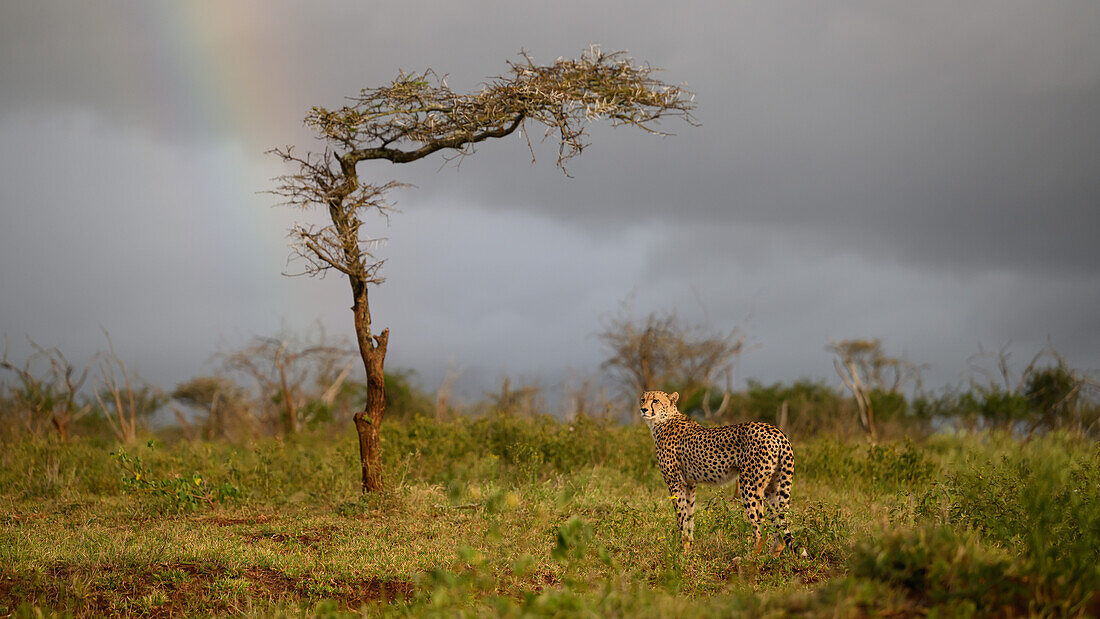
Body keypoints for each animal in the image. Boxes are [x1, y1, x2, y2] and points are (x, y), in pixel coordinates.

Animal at [638, 389, 809, 558]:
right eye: (642, 399)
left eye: (655, 400)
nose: (643, 409)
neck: (663, 421)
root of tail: (777, 431)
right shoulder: (690, 484)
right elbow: (689, 516)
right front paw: (689, 549)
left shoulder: (675, 483)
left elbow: (681, 518)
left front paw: (682, 552)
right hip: (773, 486)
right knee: (779, 529)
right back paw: (769, 558)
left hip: (749, 485)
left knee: (762, 529)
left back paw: (748, 559)